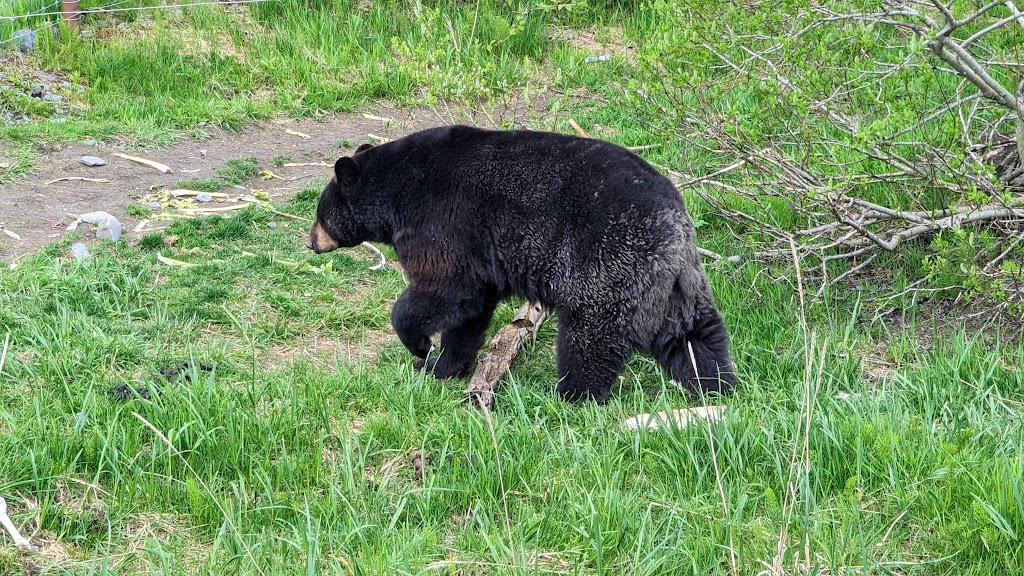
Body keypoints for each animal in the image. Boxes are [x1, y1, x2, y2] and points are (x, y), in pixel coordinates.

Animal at [303, 123, 737, 401]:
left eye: (320, 212)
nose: (310, 242)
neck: (398, 189)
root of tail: (676, 225)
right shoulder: (479, 258)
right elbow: (470, 309)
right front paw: (443, 366)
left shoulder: (441, 220)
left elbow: (444, 288)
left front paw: (419, 346)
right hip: (675, 285)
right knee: (695, 336)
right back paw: (715, 385)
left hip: (606, 264)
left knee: (590, 338)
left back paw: (569, 394)